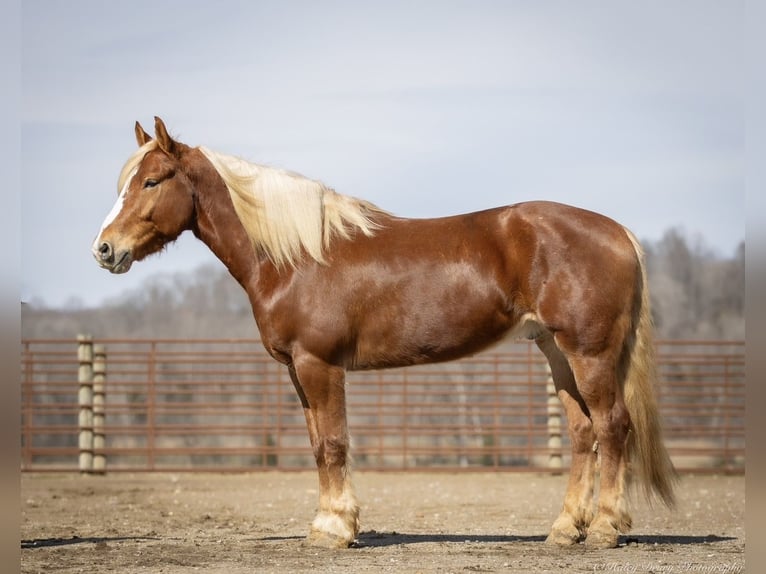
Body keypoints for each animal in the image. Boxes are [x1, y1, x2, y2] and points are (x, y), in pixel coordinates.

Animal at [91, 119, 680, 552]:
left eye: (153, 180)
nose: (104, 249)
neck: (297, 257)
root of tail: (617, 232)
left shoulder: (319, 364)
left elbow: (333, 444)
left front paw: (334, 530)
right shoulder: (298, 372)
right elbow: (317, 444)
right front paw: (329, 524)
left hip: (589, 352)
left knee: (612, 426)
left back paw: (604, 529)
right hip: (556, 351)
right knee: (583, 434)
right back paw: (563, 530)